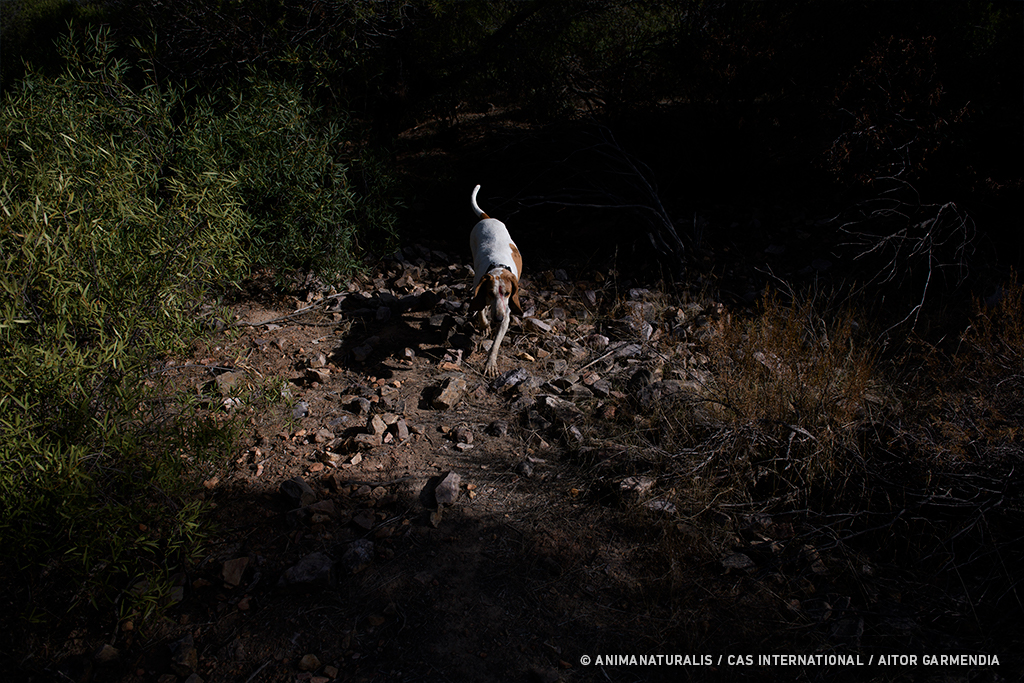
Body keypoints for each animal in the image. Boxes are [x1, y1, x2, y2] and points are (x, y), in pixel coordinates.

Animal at [468, 184, 524, 376]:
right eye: (490, 293)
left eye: (507, 293)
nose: (497, 318)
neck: (498, 267)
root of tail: (488, 218)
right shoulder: (478, 290)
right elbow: (479, 310)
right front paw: (484, 325)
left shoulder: (506, 316)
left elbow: (496, 344)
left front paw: (490, 363)